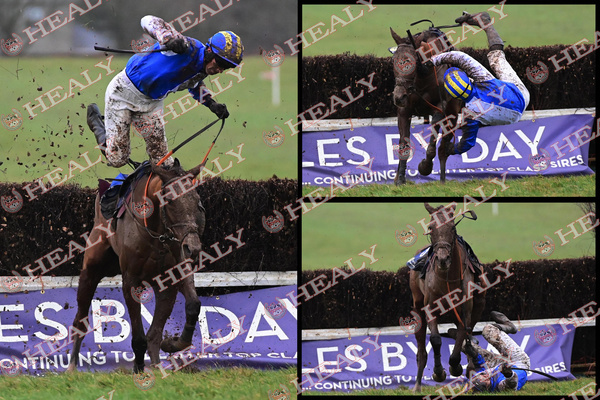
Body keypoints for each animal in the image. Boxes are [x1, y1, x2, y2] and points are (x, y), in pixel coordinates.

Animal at [68, 161, 206, 374]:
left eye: (197, 200)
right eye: (170, 201)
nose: (192, 247)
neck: (156, 235)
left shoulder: (171, 278)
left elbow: (190, 307)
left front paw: (172, 344)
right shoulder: (131, 281)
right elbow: (140, 335)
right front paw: (139, 368)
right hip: (90, 271)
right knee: (80, 320)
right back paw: (72, 366)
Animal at [390, 27, 464, 185]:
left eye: (411, 62)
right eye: (393, 61)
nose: (398, 97)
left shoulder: (440, 108)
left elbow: (433, 145)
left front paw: (425, 166)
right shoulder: (405, 109)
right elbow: (404, 142)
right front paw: (400, 178)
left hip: (452, 116)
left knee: (443, 148)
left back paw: (442, 179)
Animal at [410, 203, 486, 394]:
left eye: (452, 227)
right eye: (431, 227)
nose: (443, 259)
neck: (447, 279)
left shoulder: (466, 309)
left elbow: (462, 333)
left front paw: (455, 366)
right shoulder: (430, 308)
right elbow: (436, 340)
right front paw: (438, 372)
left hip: (479, 305)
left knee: (468, 334)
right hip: (417, 306)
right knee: (421, 348)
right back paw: (417, 385)